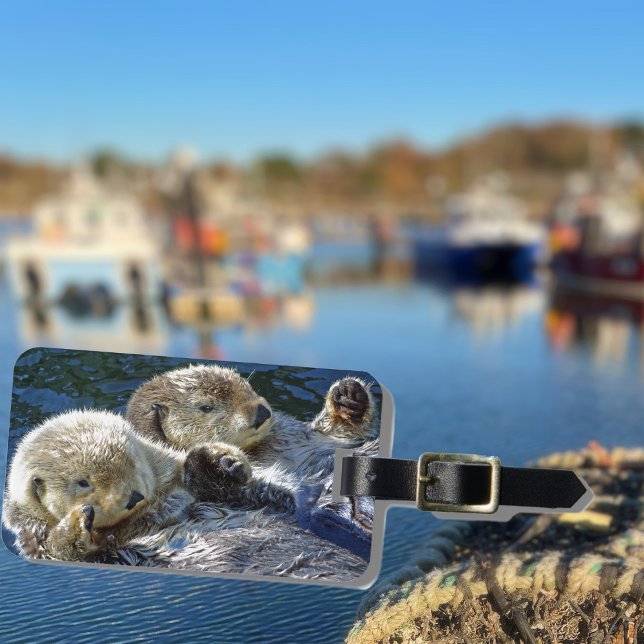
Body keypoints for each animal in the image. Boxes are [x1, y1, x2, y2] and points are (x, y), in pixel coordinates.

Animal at [2, 409, 295, 561]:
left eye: (132, 462)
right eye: (83, 482)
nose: (133, 497)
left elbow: (277, 495)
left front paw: (222, 460)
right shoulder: (35, 540)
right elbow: (63, 552)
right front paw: (77, 522)